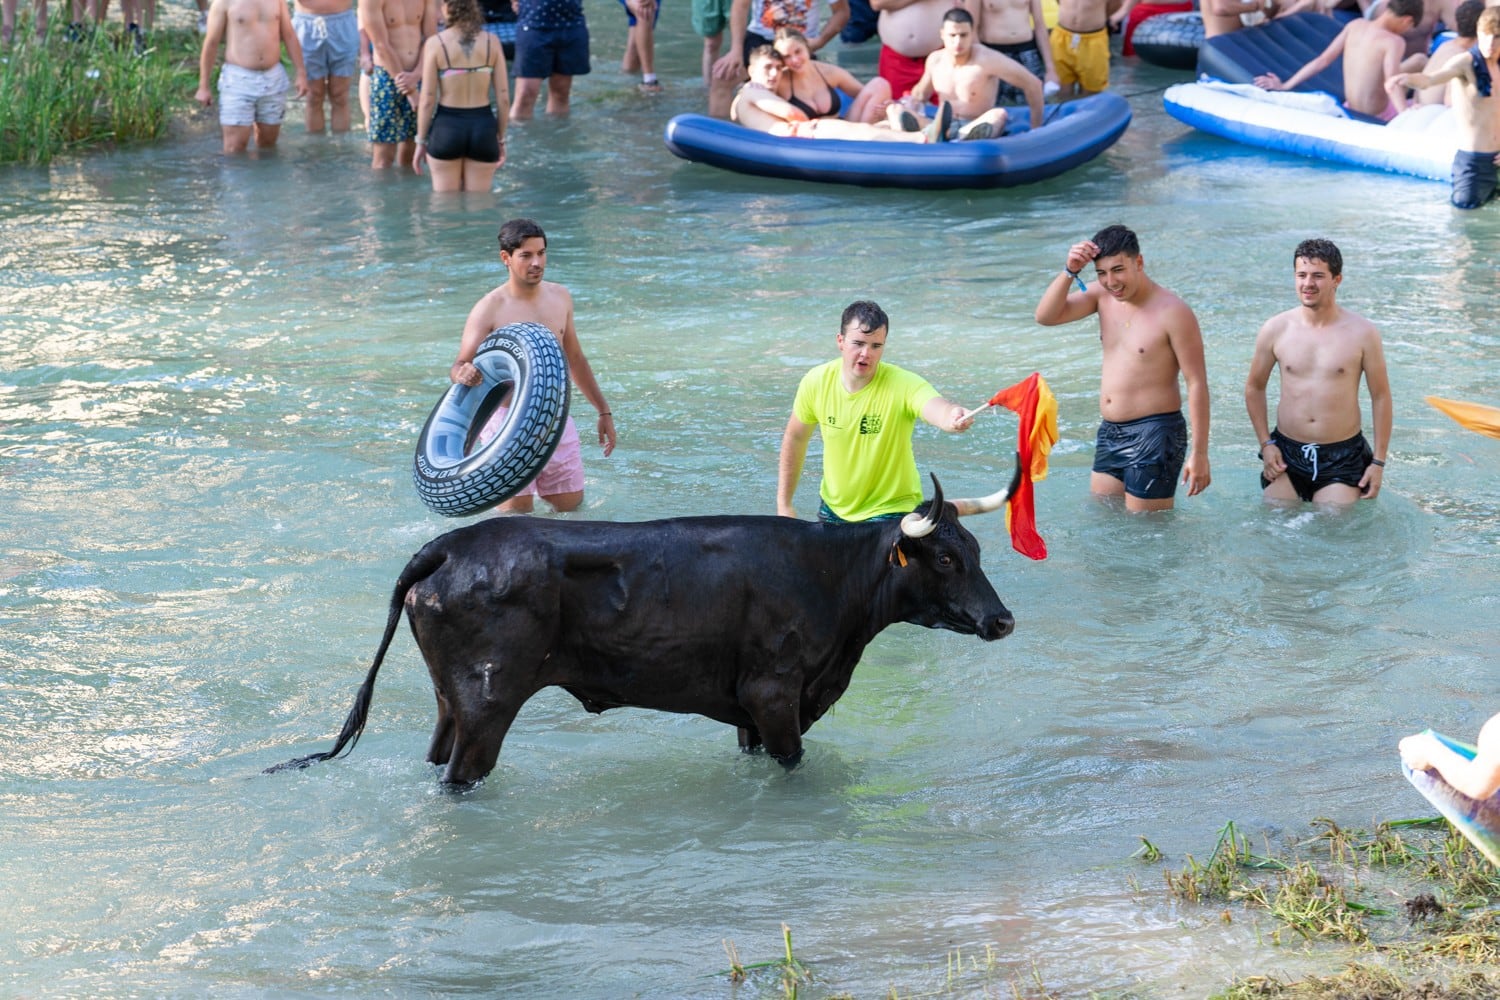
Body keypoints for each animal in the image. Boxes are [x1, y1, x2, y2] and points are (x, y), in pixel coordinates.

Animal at [270, 464, 1020, 785]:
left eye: (978, 551)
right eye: (946, 557)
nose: (1003, 619)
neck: (827, 575)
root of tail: (451, 544)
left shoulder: (748, 709)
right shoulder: (775, 696)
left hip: (449, 701)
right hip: (488, 703)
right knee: (462, 776)